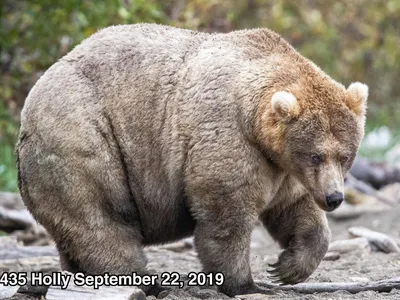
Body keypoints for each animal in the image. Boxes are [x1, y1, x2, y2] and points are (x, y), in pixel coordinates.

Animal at [18, 23, 368, 296]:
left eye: (345, 155)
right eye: (316, 155)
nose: (334, 198)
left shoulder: (282, 168)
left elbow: (294, 209)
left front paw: (287, 267)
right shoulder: (228, 137)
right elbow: (226, 214)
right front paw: (245, 283)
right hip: (83, 135)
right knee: (100, 215)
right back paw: (142, 278)